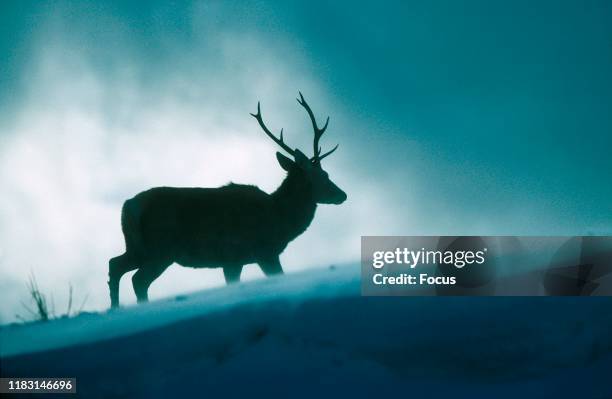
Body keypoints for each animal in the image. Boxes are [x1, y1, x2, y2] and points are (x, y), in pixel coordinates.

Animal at [109, 94, 344, 310]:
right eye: (323, 176)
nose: (342, 195)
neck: (278, 219)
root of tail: (128, 206)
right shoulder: (259, 252)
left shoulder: (235, 260)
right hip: (161, 247)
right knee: (138, 279)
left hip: (138, 246)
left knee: (115, 264)